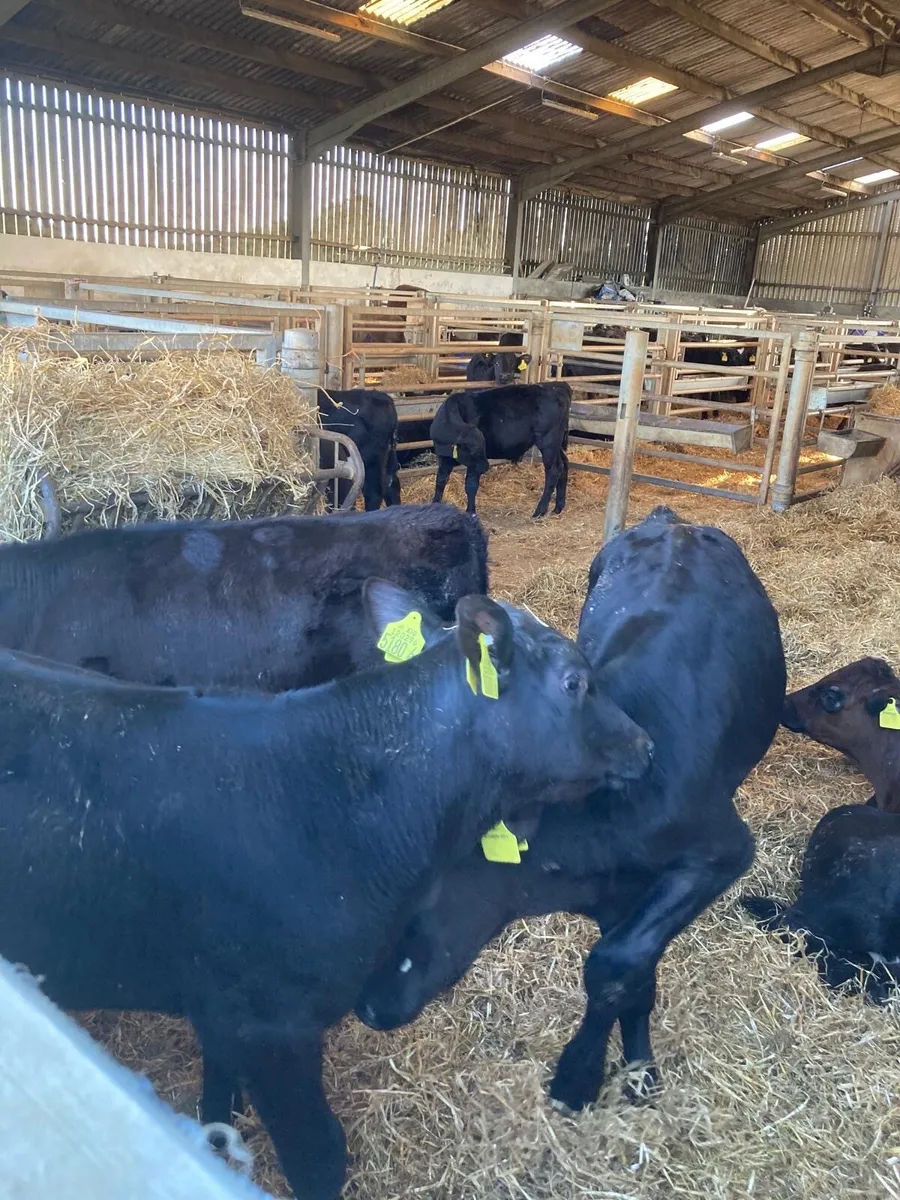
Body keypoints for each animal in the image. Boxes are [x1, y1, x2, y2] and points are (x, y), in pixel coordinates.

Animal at [0, 581, 653, 1200]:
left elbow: (217, 1100)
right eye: (575, 682)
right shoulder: (269, 1024)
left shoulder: (219, 1005)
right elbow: (318, 1156)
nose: (645, 743)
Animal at [356, 506, 786, 1111]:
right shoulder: (615, 893)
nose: (366, 1006)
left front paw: (581, 1076)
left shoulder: (721, 849)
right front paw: (633, 1068)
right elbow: (634, 977)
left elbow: (615, 965)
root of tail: (672, 519)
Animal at [430, 382, 571, 519]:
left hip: (548, 441)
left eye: (483, 445)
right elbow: (440, 481)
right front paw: (434, 505)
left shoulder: (473, 466)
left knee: (553, 470)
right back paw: (558, 507)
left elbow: (470, 485)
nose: (485, 466)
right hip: (556, 444)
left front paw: (470, 511)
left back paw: (540, 511)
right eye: (470, 450)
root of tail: (556, 386)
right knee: (564, 464)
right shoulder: (444, 459)